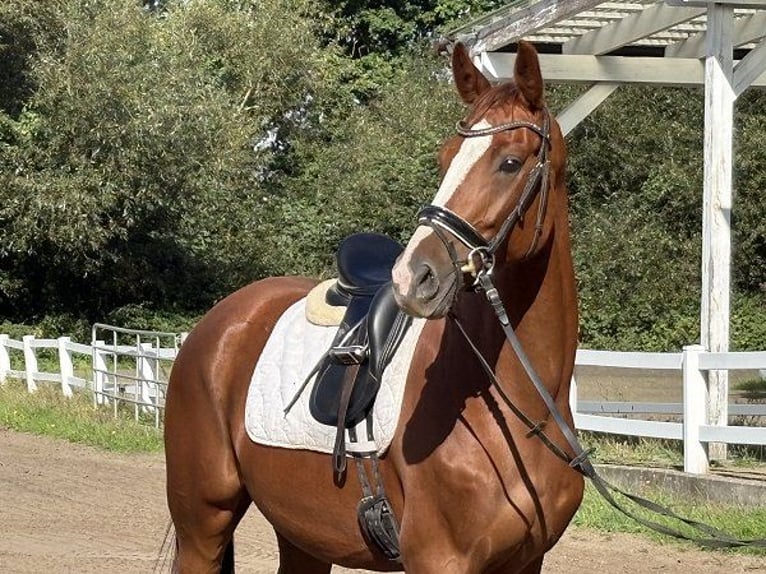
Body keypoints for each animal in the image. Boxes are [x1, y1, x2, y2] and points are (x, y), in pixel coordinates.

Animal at [164, 40, 583, 573]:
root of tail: (214, 326)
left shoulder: (526, 562)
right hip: (203, 521)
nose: (413, 276)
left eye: (509, 162)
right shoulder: (438, 558)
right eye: (445, 158)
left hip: (302, 535)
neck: (521, 417)